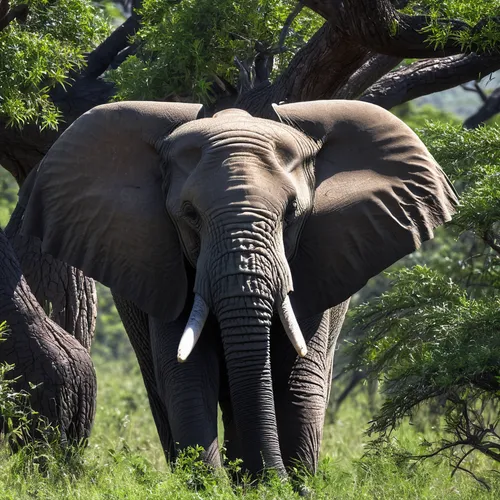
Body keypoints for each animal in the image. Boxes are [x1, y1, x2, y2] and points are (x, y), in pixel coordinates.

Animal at [19, 98, 458, 476]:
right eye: (190, 215)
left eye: (293, 213)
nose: (275, 477)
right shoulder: (166, 265)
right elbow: (187, 376)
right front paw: (212, 486)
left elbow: (298, 379)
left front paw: (290, 484)